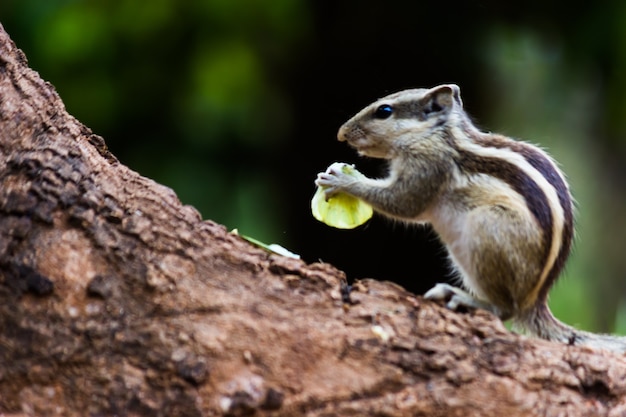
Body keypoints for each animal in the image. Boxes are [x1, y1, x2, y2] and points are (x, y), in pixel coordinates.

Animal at [314, 83, 624, 352]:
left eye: (384, 111)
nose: (341, 133)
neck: (435, 134)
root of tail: (533, 302)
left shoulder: (428, 167)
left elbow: (405, 204)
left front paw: (343, 180)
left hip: (486, 229)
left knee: (504, 309)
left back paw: (461, 297)